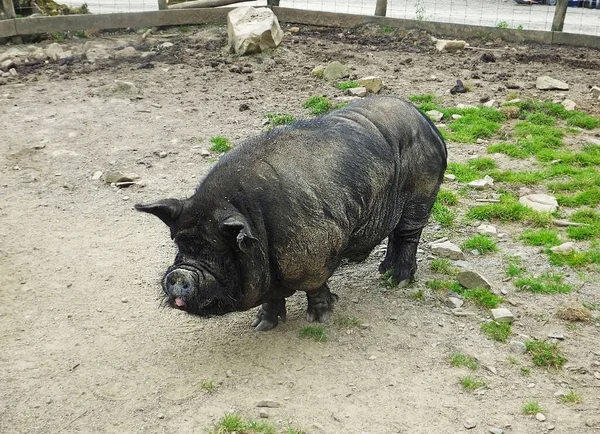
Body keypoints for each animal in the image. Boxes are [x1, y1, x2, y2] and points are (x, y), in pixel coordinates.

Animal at [136, 96, 446, 330]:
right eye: (179, 245)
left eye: (221, 254)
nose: (179, 274)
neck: (255, 220)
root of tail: (426, 122)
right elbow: (271, 298)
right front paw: (261, 326)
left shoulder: (319, 248)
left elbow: (314, 287)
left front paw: (320, 318)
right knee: (395, 234)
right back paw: (384, 271)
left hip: (422, 192)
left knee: (408, 234)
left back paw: (398, 280)